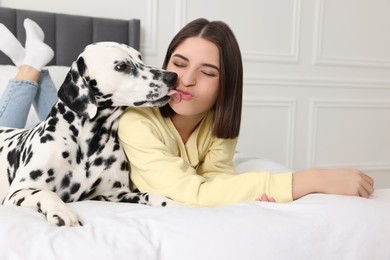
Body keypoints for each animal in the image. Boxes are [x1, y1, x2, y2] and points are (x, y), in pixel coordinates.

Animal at [0, 41, 179, 226]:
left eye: (140, 58)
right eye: (122, 66)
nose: (173, 77)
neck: (88, 144)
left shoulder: (115, 194)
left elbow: (150, 195)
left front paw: (171, 203)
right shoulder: (18, 191)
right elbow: (46, 193)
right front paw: (62, 212)